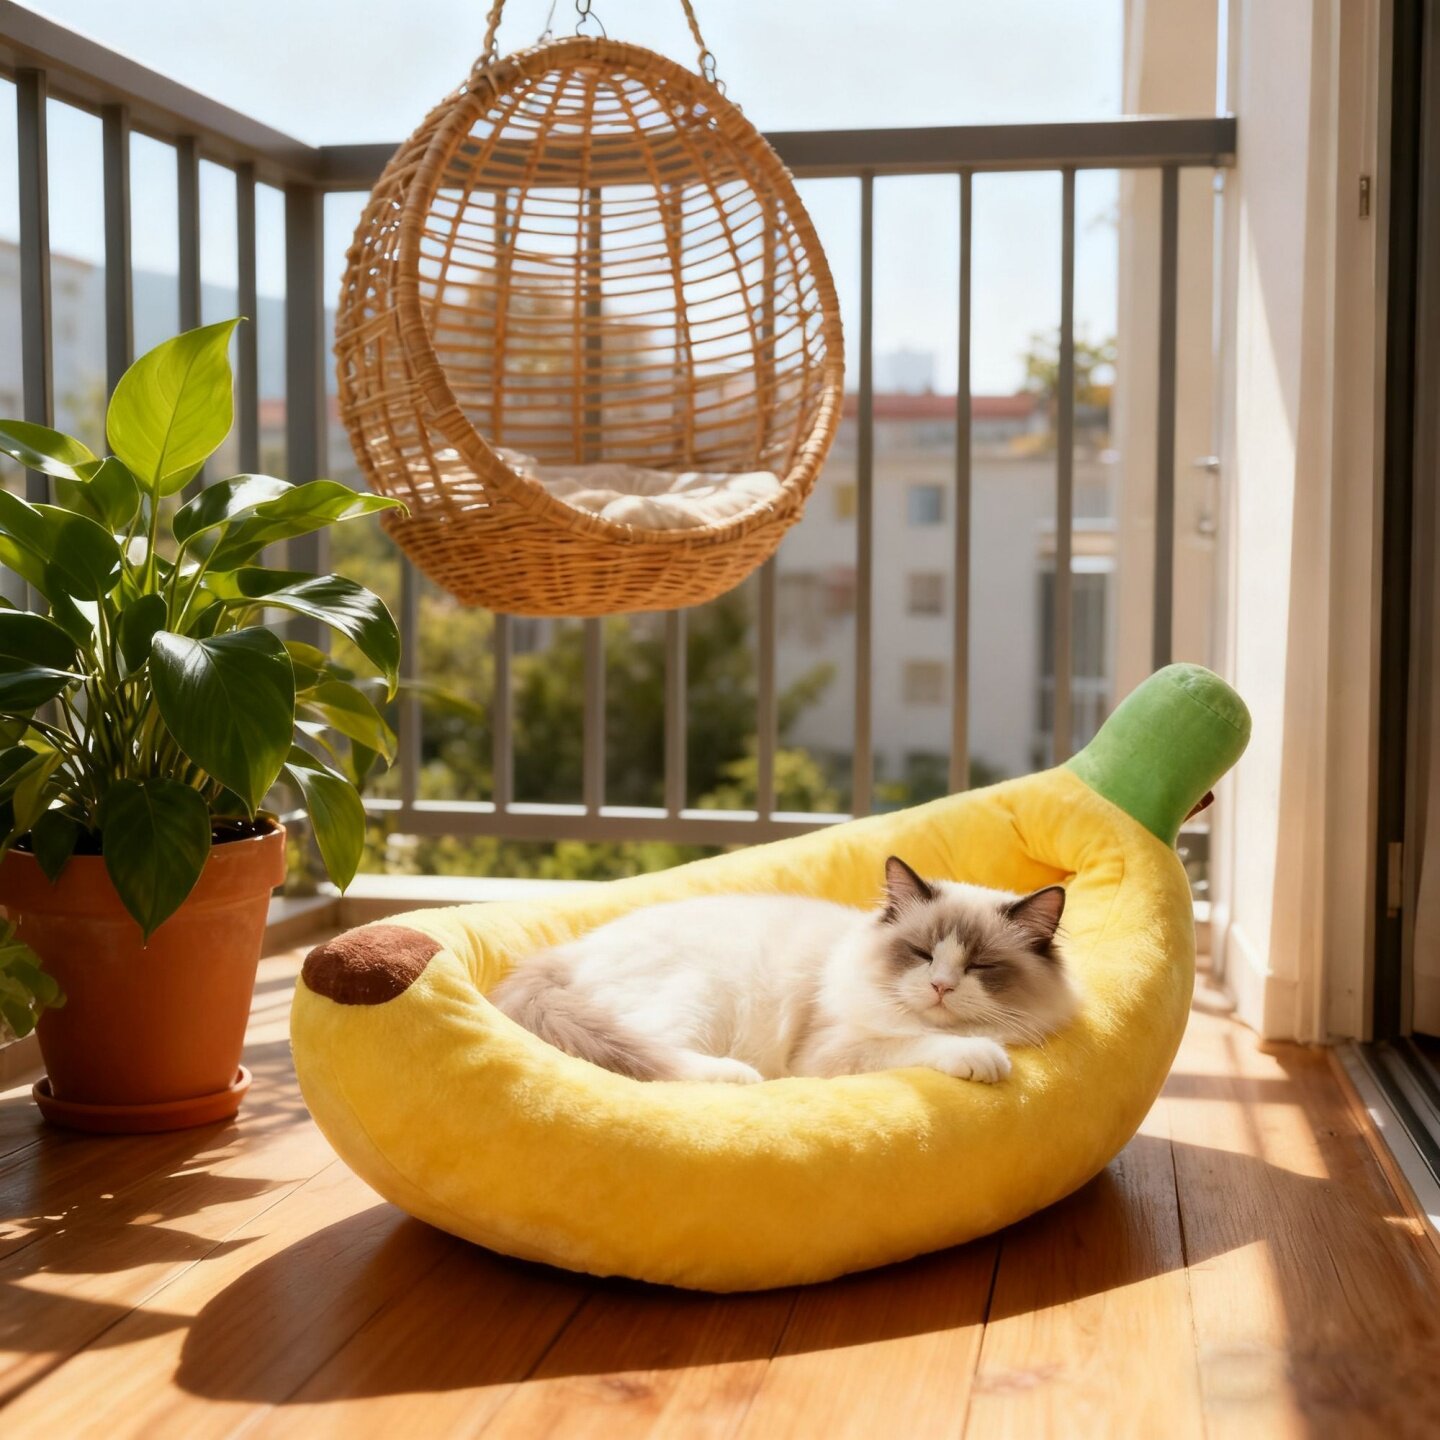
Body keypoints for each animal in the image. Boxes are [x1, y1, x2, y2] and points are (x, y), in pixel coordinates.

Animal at [490, 856, 1079, 1085]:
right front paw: (983, 1057)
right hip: (701, 998)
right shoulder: (833, 1052)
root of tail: (569, 951)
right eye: (921, 953)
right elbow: (918, 1042)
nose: (940, 986)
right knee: (658, 1067)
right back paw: (739, 1079)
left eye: (980, 965)